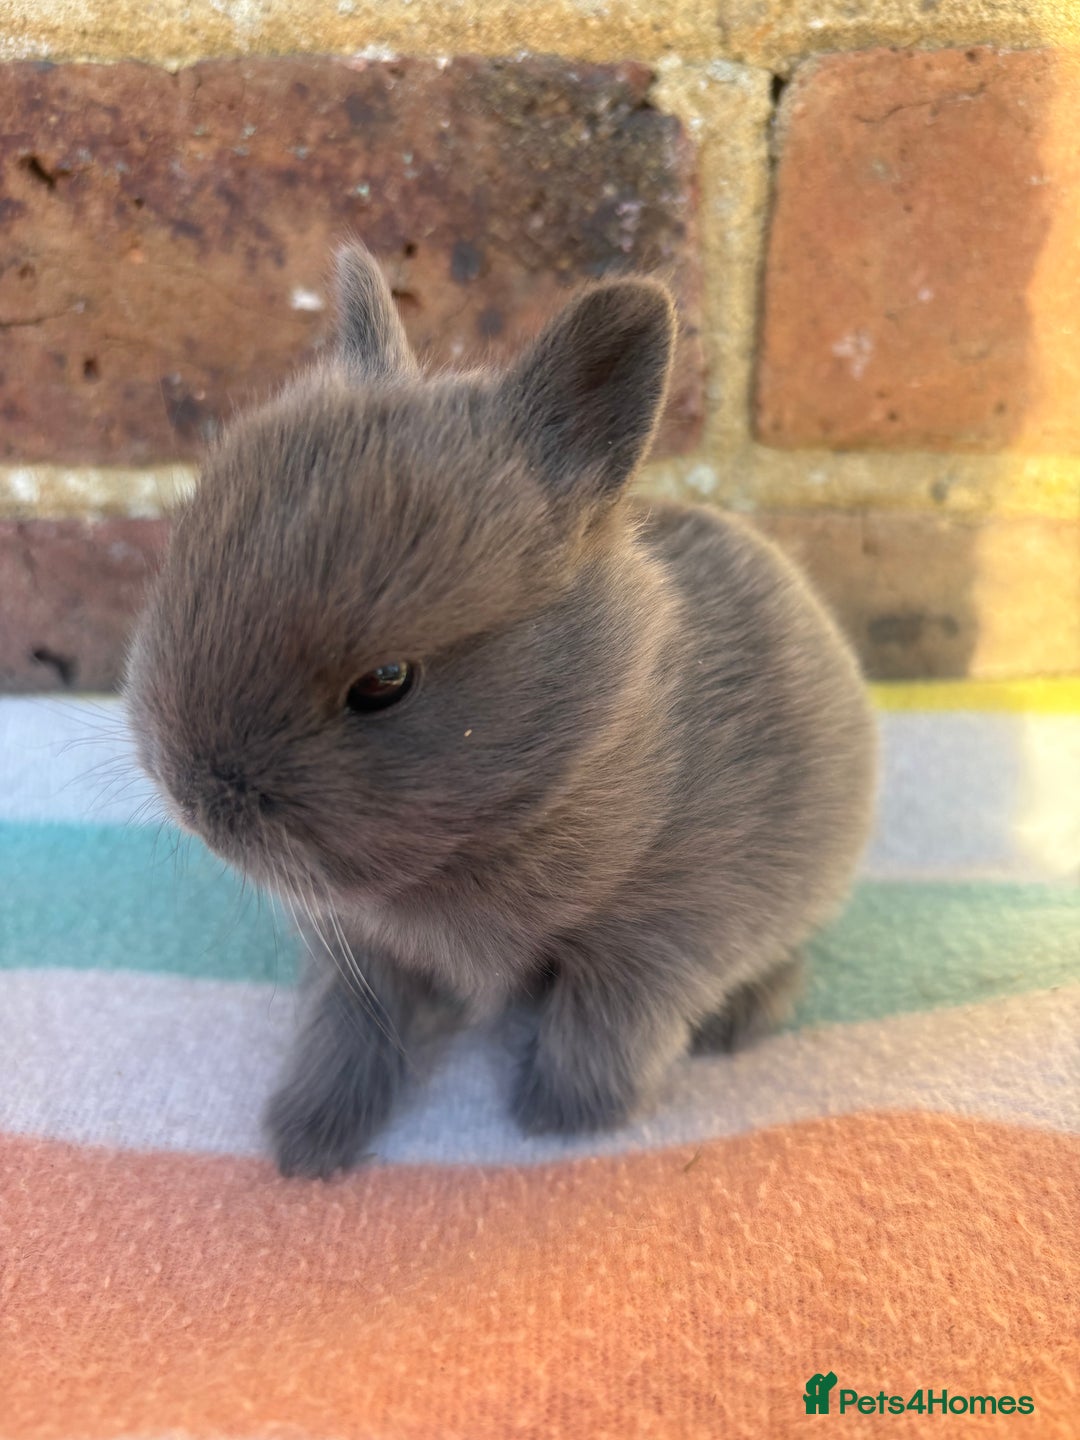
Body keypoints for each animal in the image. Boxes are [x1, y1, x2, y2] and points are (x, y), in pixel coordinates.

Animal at [125, 243, 877, 1178]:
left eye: (387, 680)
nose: (192, 796)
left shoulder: (660, 939)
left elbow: (604, 1031)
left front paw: (559, 1119)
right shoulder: (365, 952)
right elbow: (346, 1030)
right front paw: (308, 1141)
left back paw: (737, 1025)